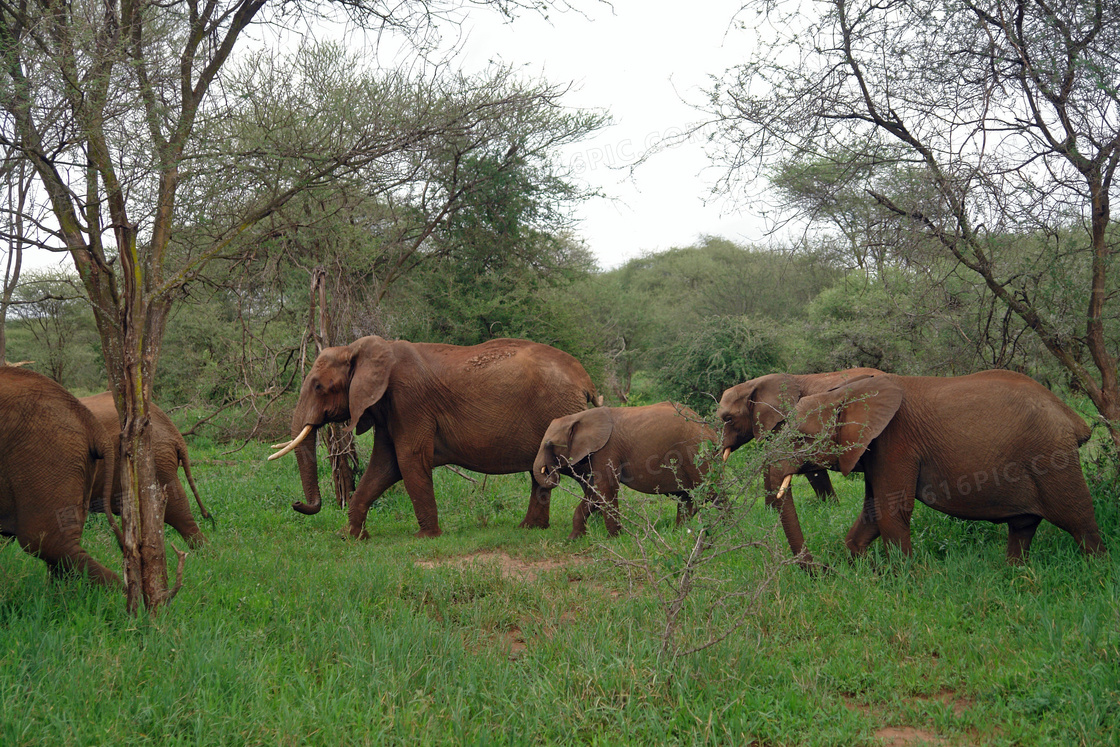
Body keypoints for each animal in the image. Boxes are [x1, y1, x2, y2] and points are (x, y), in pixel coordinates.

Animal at [268, 338, 604, 537]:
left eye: (319, 387)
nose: (298, 503)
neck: (364, 349)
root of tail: (584, 378)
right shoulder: (390, 409)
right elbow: (384, 466)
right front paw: (352, 537)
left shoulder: (409, 402)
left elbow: (409, 460)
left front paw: (425, 537)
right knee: (542, 473)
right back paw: (530, 529)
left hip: (560, 412)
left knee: (583, 469)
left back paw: (598, 526)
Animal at [533, 403, 716, 537]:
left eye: (550, 444)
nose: (550, 469)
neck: (579, 417)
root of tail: (711, 431)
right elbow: (595, 492)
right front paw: (574, 538)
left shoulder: (607, 448)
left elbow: (606, 488)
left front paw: (614, 538)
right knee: (687, 497)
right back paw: (679, 533)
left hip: (697, 453)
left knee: (711, 492)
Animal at [721, 367, 1106, 566]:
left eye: (802, 439)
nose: (821, 570)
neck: (848, 393)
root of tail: (1073, 419)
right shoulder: (873, 449)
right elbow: (874, 509)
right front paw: (861, 564)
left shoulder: (895, 442)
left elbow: (891, 509)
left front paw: (904, 577)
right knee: (1023, 525)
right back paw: (1014, 573)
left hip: (1052, 456)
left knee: (1077, 518)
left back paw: (1096, 571)